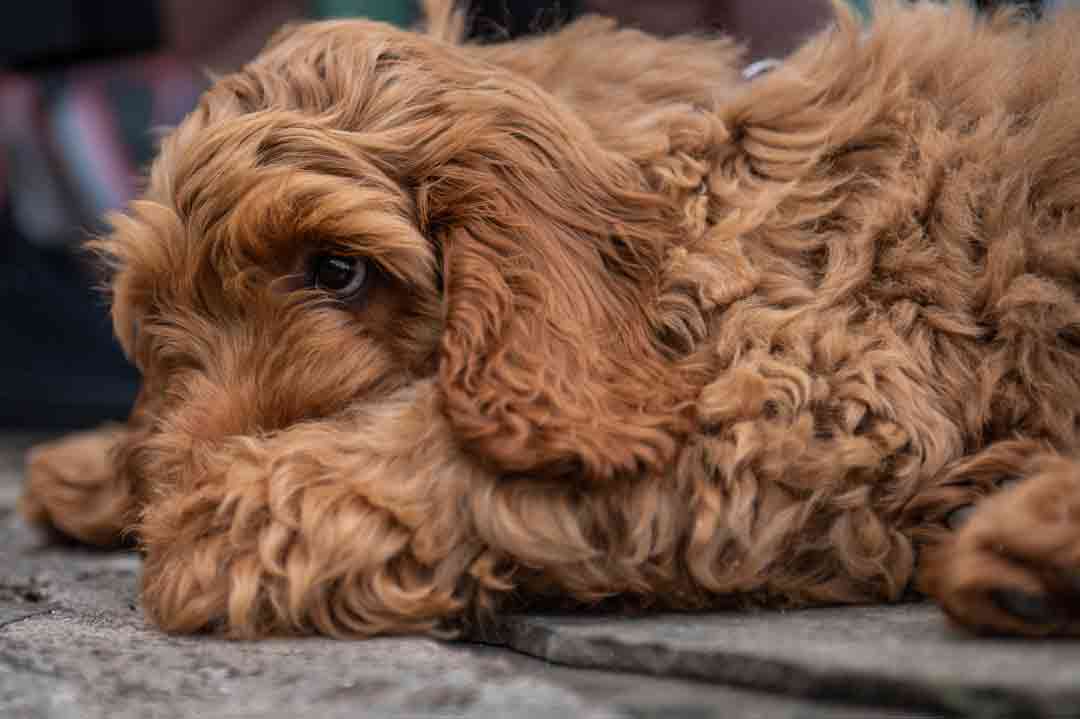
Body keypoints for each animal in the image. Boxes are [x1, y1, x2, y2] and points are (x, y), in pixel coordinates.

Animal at [19, 0, 1080, 639]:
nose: (181, 476)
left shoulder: (812, 395)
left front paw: (203, 522)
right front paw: (107, 469)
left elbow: (449, 447)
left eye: (337, 269)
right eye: (162, 321)